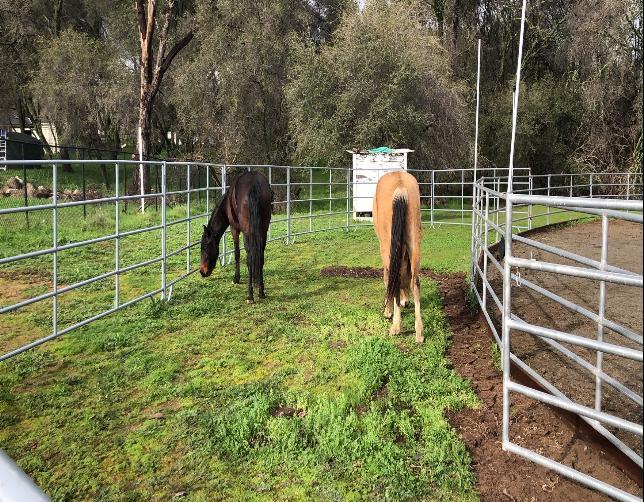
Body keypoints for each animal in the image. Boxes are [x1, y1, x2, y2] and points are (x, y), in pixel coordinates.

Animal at [201, 170, 272, 302]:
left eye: (204, 248)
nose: (202, 271)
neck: (227, 203)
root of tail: (254, 184)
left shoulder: (234, 229)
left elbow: (237, 253)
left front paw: (236, 278)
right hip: (263, 229)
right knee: (260, 255)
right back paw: (261, 292)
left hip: (247, 232)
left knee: (250, 258)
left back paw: (250, 295)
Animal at [372, 172, 422, 342]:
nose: (406, 302)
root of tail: (400, 188)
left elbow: (389, 278)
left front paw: (388, 311)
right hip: (414, 242)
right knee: (415, 282)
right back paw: (419, 332)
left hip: (388, 247)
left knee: (395, 278)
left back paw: (396, 326)